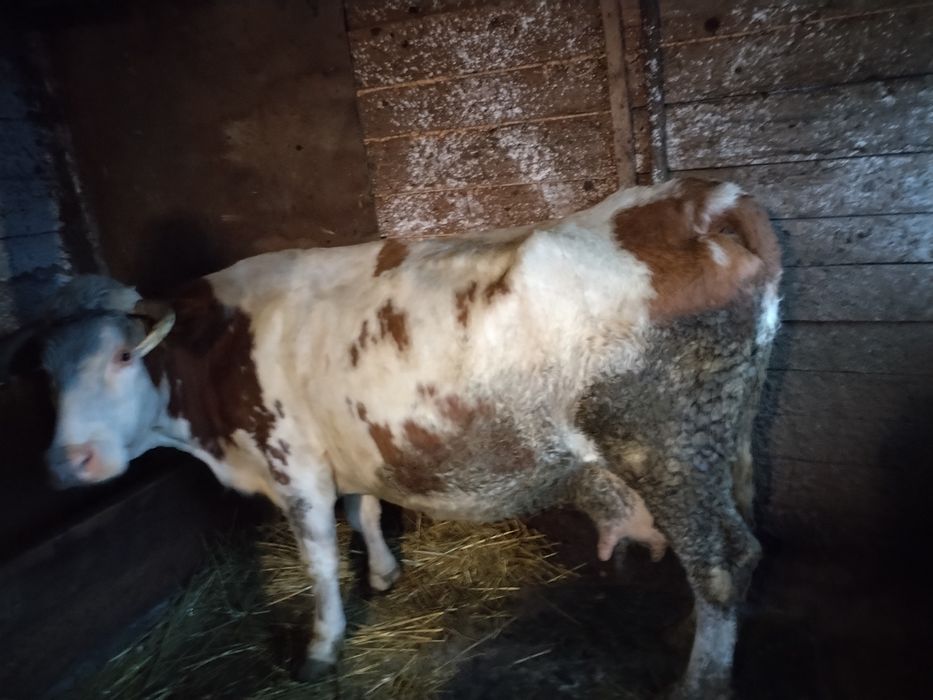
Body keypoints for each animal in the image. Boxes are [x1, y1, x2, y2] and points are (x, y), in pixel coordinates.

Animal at [2, 177, 780, 698]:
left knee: (719, 562)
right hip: (723, 439)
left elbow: (318, 562)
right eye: (44, 372)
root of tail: (696, 198)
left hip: (669, 446)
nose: (70, 461)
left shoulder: (294, 466)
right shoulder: (348, 450)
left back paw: (699, 681)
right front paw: (381, 573)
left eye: (122, 355)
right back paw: (687, 637)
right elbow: (366, 510)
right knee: (737, 544)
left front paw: (322, 647)